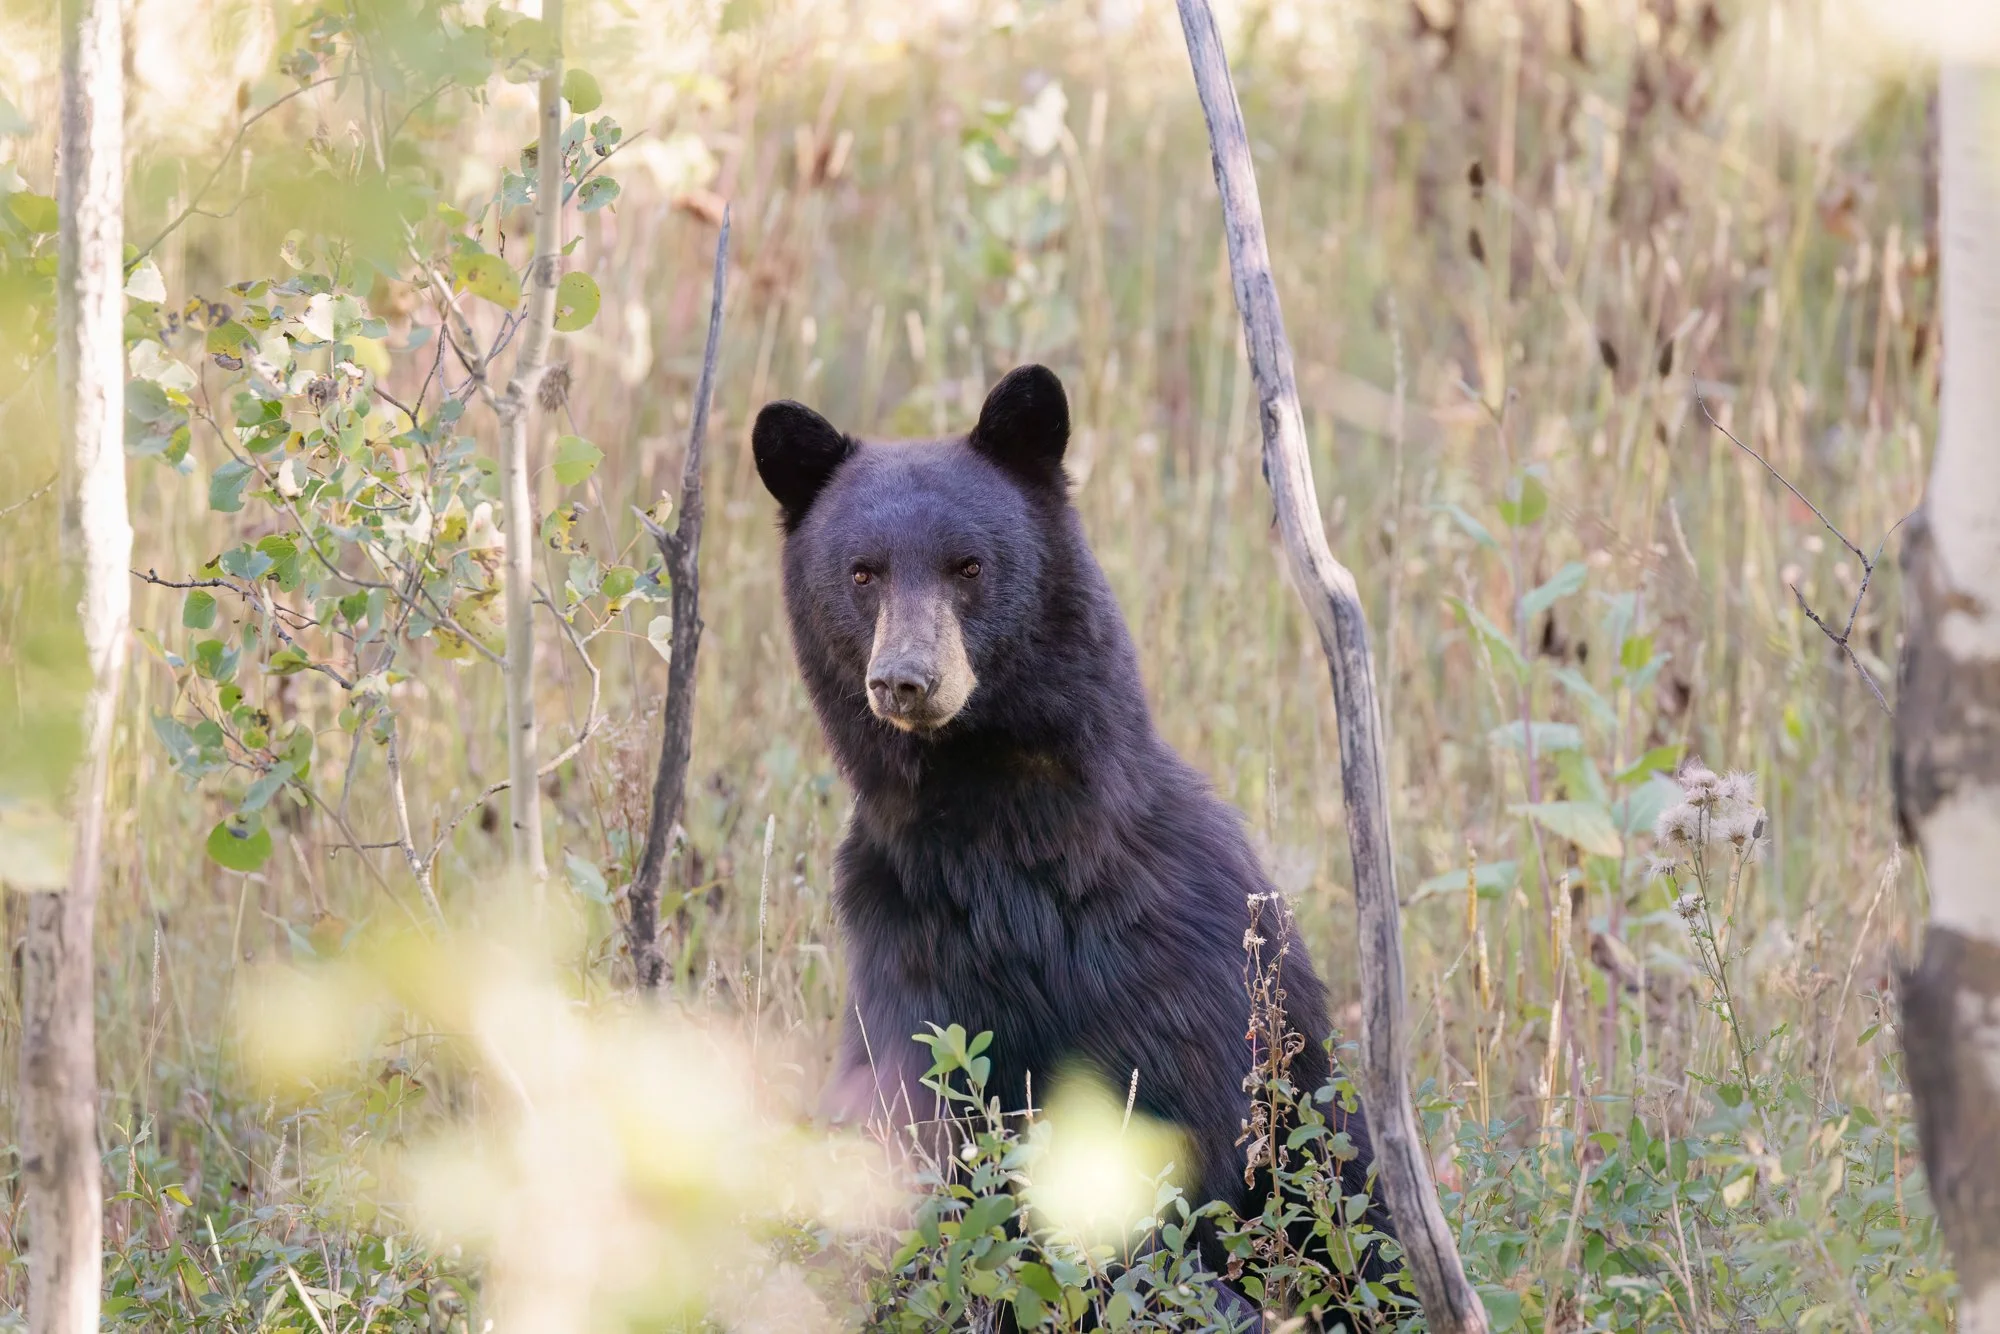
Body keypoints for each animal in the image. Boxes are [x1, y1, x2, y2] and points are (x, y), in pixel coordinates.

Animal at [752, 364, 1392, 1316]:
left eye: (969, 565)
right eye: (862, 573)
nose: (905, 680)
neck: (1006, 839)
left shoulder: (1177, 956)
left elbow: (1191, 1143)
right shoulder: (907, 954)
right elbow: (921, 1133)